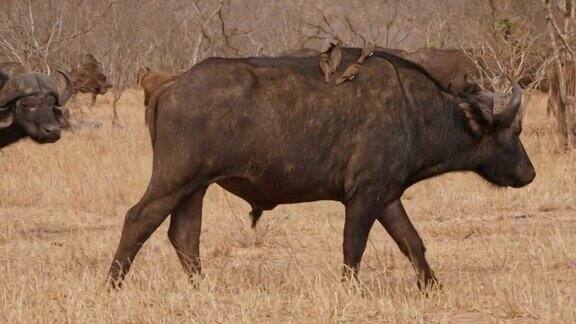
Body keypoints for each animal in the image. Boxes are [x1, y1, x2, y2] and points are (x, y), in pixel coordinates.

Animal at [108, 47, 536, 288]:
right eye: (513, 131)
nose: (529, 173)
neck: (415, 112)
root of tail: (172, 83)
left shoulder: (385, 198)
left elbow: (412, 242)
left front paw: (431, 288)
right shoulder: (363, 198)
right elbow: (353, 248)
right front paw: (350, 292)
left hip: (195, 186)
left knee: (184, 235)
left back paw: (202, 288)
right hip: (173, 180)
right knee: (138, 220)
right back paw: (112, 286)